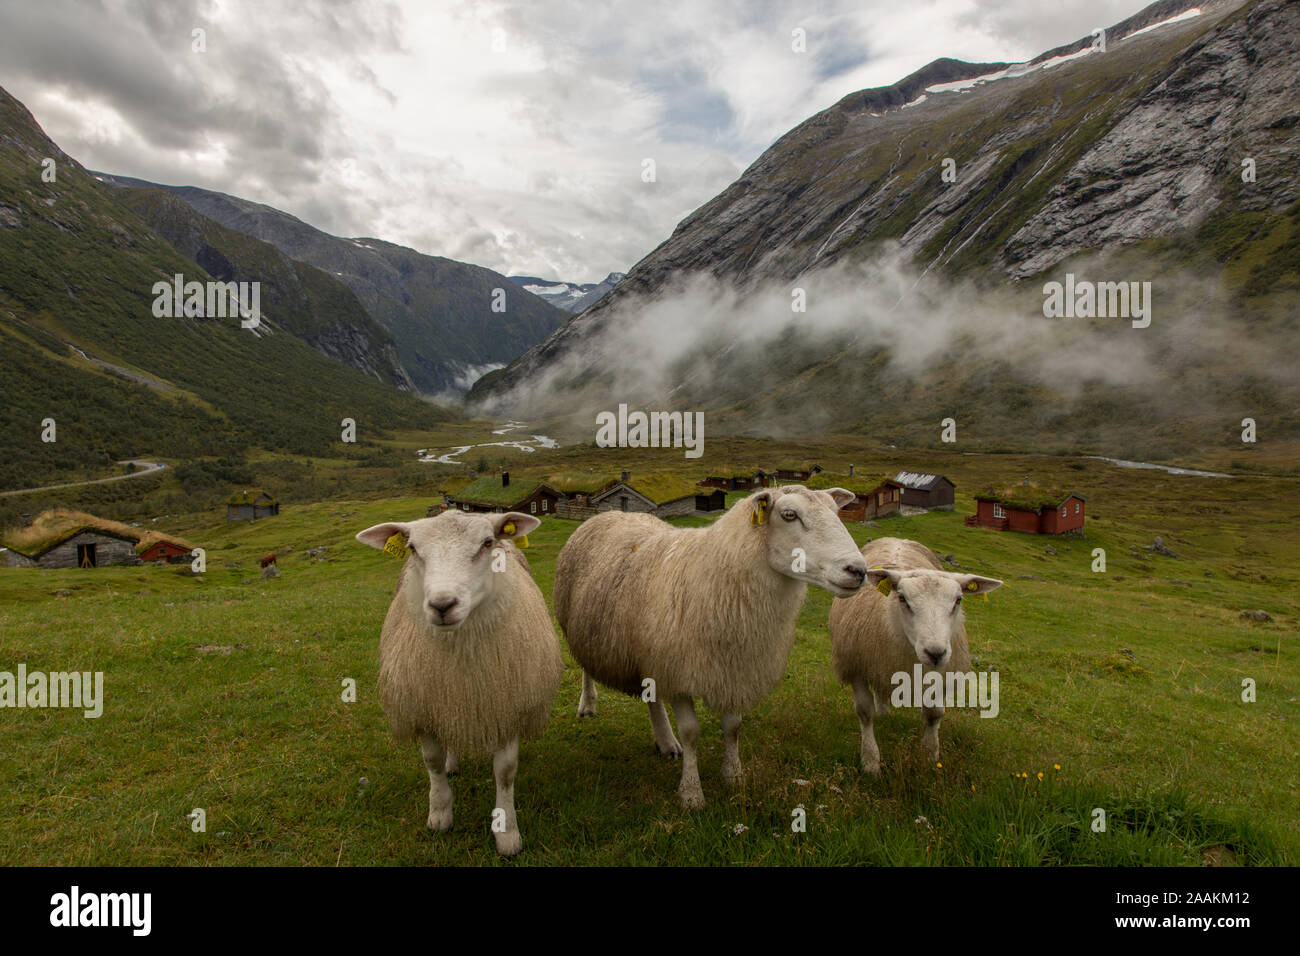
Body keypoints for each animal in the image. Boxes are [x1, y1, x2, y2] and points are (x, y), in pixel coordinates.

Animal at [353, 512, 561, 858]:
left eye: (487, 543)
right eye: (412, 548)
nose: (442, 604)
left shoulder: (506, 704)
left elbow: (505, 772)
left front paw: (506, 832)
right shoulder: (425, 707)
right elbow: (433, 762)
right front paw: (440, 813)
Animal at [553, 486, 868, 806]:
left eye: (836, 511)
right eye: (789, 515)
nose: (858, 570)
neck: (714, 577)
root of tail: (608, 514)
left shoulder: (732, 669)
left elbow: (733, 727)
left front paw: (733, 776)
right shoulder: (678, 673)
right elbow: (691, 732)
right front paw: (692, 794)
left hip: (649, 651)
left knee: (652, 696)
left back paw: (665, 741)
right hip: (581, 626)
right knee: (586, 667)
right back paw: (587, 704)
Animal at [826, 538, 998, 780]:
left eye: (958, 600)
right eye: (902, 598)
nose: (935, 653)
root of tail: (896, 538)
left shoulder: (941, 675)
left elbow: (934, 715)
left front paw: (929, 755)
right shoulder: (856, 667)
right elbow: (865, 712)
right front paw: (870, 761)